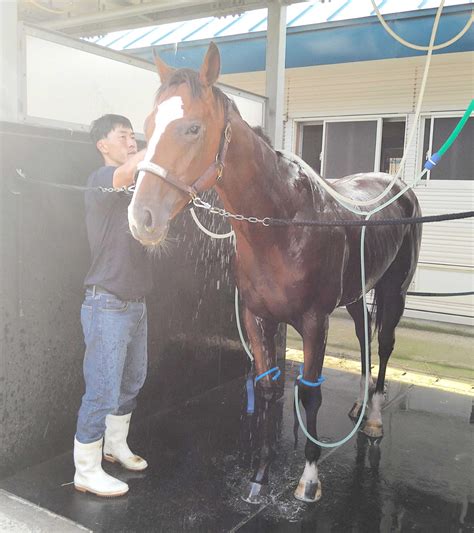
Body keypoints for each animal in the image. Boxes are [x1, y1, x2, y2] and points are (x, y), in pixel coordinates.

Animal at [129, 43, 422, 500]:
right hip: (356, 293)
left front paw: (309, 479)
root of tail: (398, 187)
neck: (282, 223)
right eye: (148, 124)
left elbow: (309, 395)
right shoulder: (256, 317)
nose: (142, 217)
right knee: (364, 338)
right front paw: (259, 475)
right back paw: (360, 404)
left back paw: (373, 418)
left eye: (193, 128)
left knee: (386, 343)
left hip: (395, 291)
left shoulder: (315, 321)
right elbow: (267, 388)